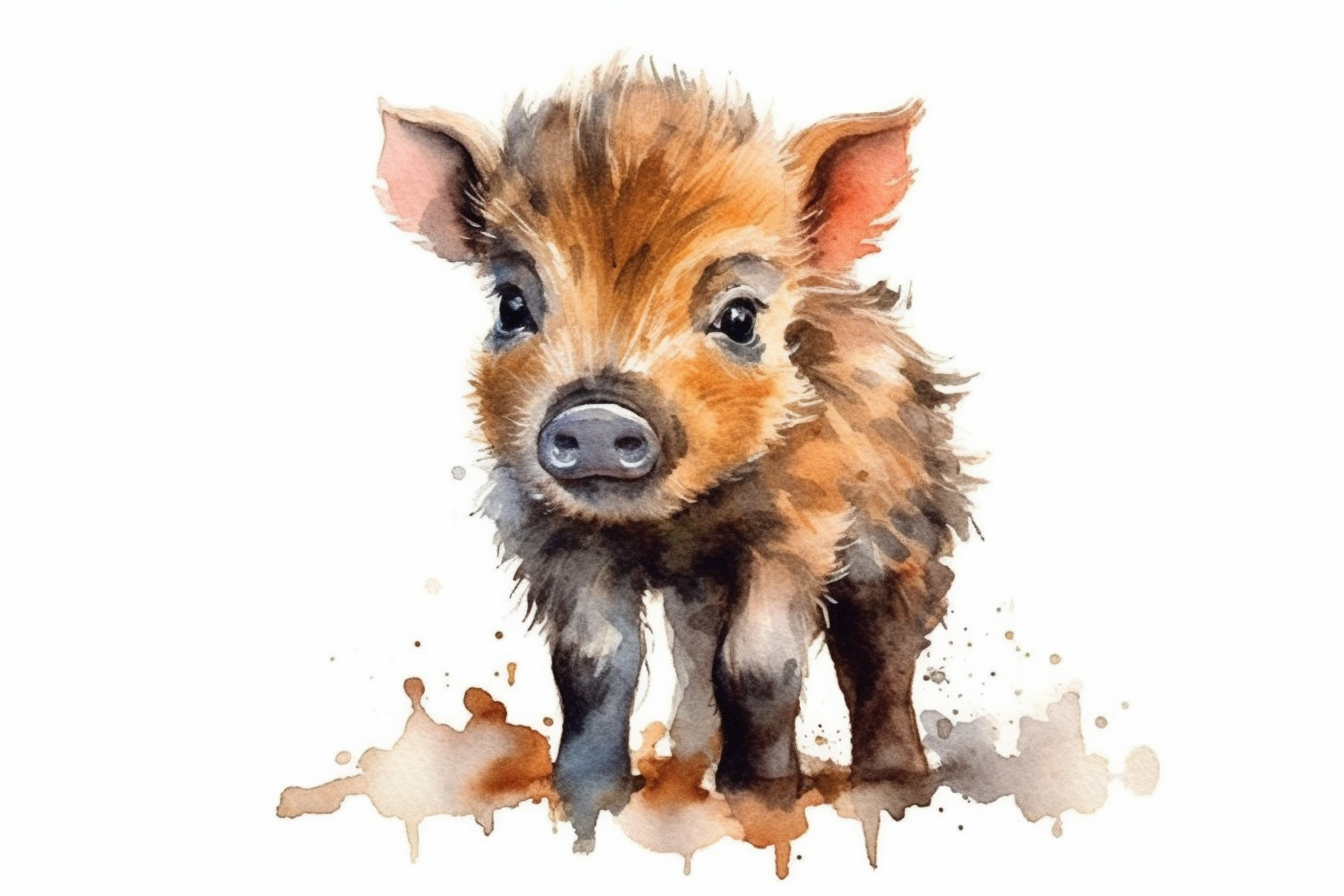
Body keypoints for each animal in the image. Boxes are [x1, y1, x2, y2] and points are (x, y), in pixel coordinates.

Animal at [375, 62, 975, 850]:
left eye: (740, 317)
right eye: (510, 305)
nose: (598, 416)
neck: (673, 525)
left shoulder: (800, 527)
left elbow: (760, 665)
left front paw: (763, 801)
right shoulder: (557, 536)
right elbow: (594, 662)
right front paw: (588, 799)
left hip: (905, 529)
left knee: (879, 647)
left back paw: (892, 785)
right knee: (694, 657)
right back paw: (687, 774)